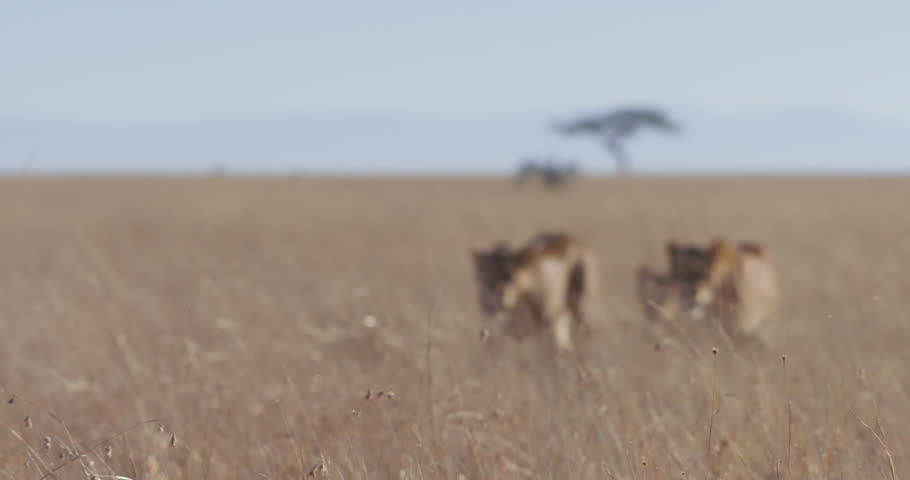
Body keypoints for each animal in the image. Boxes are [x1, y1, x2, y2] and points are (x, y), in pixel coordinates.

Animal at [470, 232, 601, 352]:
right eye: (487, 278)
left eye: (510, 277)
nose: (501, 303)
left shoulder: (541, 325)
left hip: (579, 306)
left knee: (584, 331)